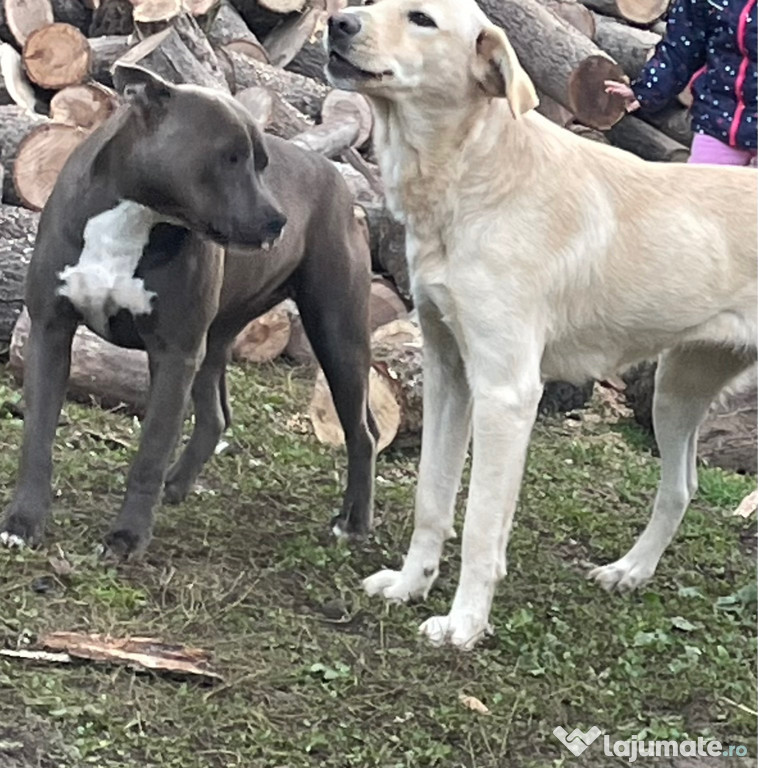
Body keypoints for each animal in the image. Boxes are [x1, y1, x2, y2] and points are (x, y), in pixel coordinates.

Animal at [2, 66, 378, 556]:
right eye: (230, 157)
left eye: (263, 163)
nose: (279, 221)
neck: (135, 215)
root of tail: (339, 181)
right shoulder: (51, 331)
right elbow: (37, 437)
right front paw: (23, 520)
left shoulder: (174, 354)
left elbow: (150, 451)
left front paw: (128, 536)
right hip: (214, 341)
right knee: (216, 416)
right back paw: (177, 483)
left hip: (337, 336)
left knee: (362, 434)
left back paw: (354, 522)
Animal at [326, 0, 758, 648]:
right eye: (373, 5)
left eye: (421, 18)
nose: (337, 23)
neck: (471, 174)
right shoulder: (448, 373)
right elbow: (433, 499)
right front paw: (409, 585)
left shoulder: (507, 393)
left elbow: (480, 525)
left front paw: (464, 624)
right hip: (678, 389)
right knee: (681, 487)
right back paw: (630, 571)